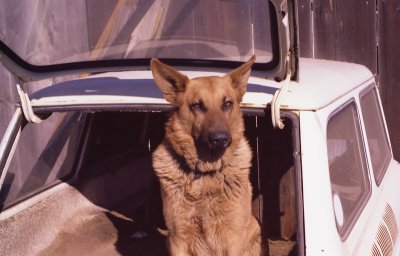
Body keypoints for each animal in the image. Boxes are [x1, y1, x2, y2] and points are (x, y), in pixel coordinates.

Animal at [152, 55, 260, 255]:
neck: (206, 174)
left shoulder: (234, 238)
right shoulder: (178, 238)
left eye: (227, 104)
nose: (220, 139)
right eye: (197, 106)